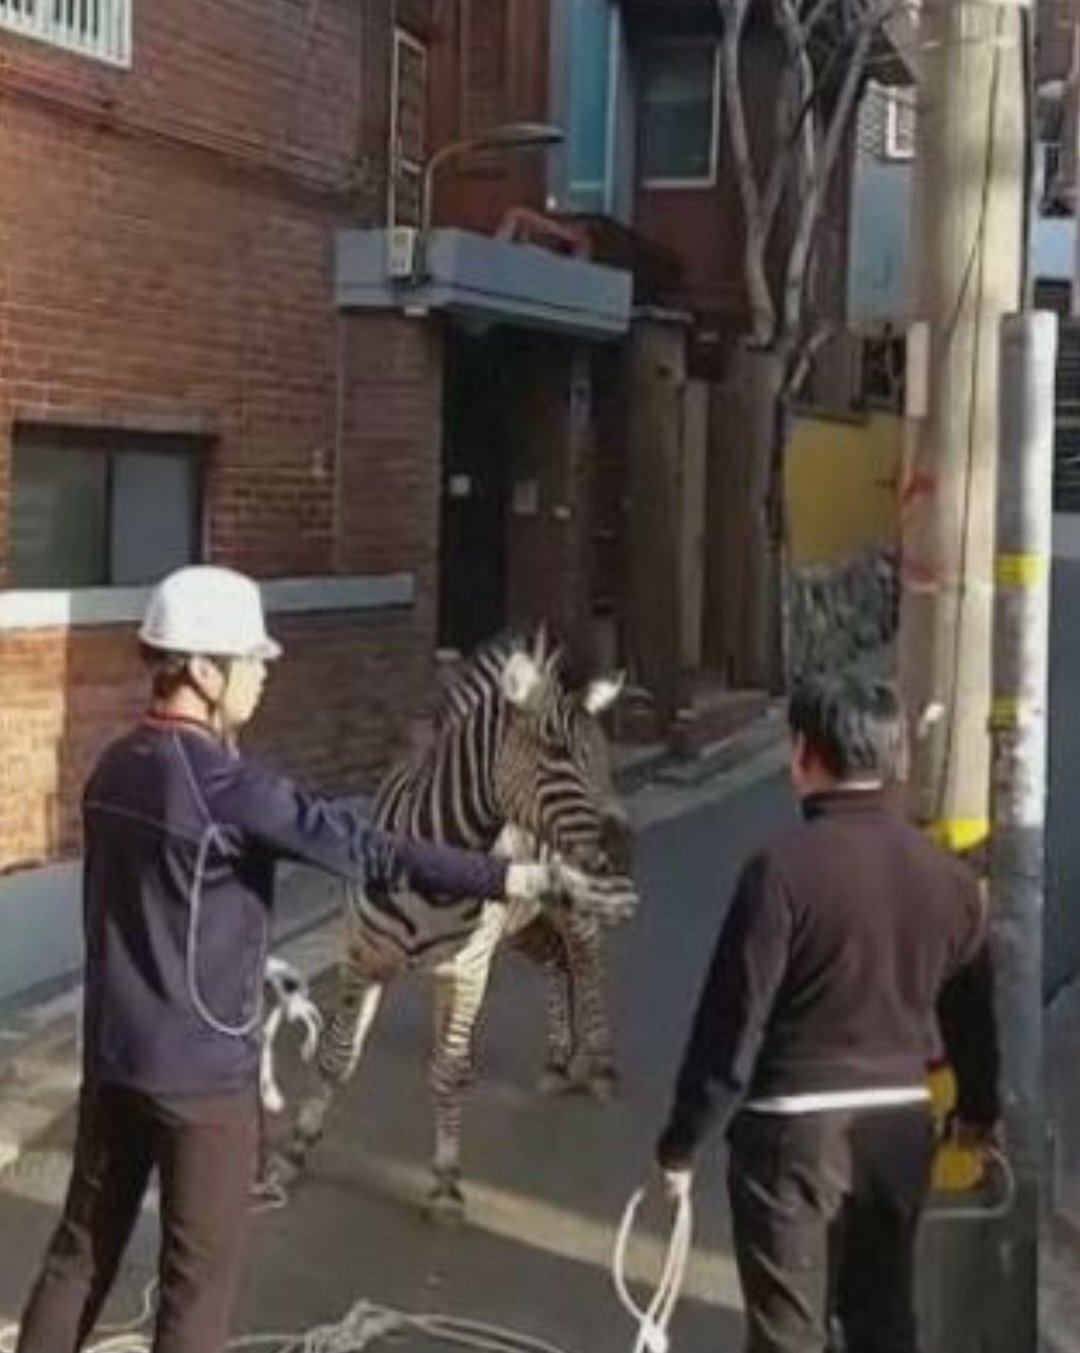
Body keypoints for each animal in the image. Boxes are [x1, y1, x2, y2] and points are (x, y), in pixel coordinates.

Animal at [270, 627, 638, 1223]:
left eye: (603, 757)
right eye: (556, 752)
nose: (625, 851)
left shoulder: (466, 970)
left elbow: (447, 1071)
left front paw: (445, 1182)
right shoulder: (363, 956)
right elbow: (337, 1056)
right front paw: (293, 1153)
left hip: (563, 911)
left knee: (586, 961)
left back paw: (599, 1064)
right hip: (523, 924)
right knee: (557, 961)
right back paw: (559, 1059)